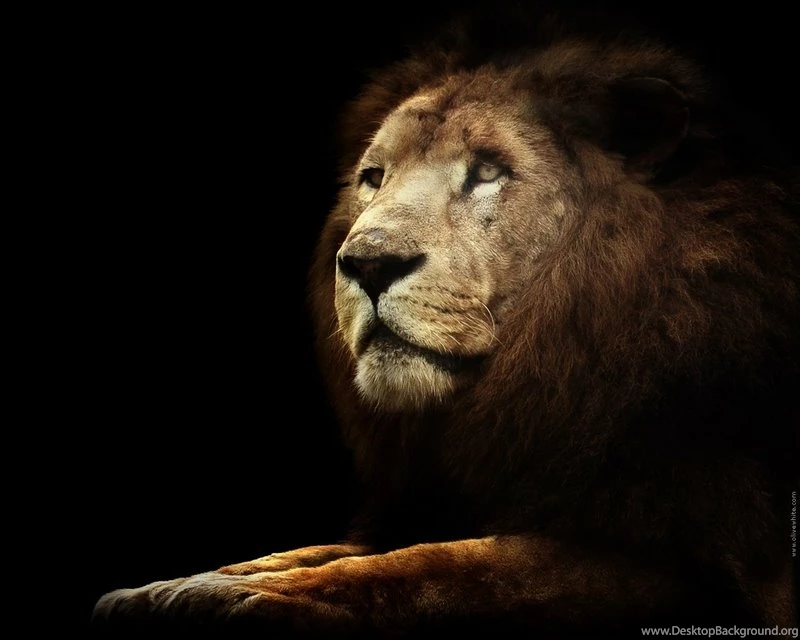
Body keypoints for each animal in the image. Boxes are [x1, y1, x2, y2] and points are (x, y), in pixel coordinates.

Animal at [93, 6, 799, 634]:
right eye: (374, 177)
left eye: (487, 171)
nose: (367, 263)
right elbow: (324, 551)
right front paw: (177, 585)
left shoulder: (683, 564)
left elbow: (434, 567)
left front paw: (235, 599)